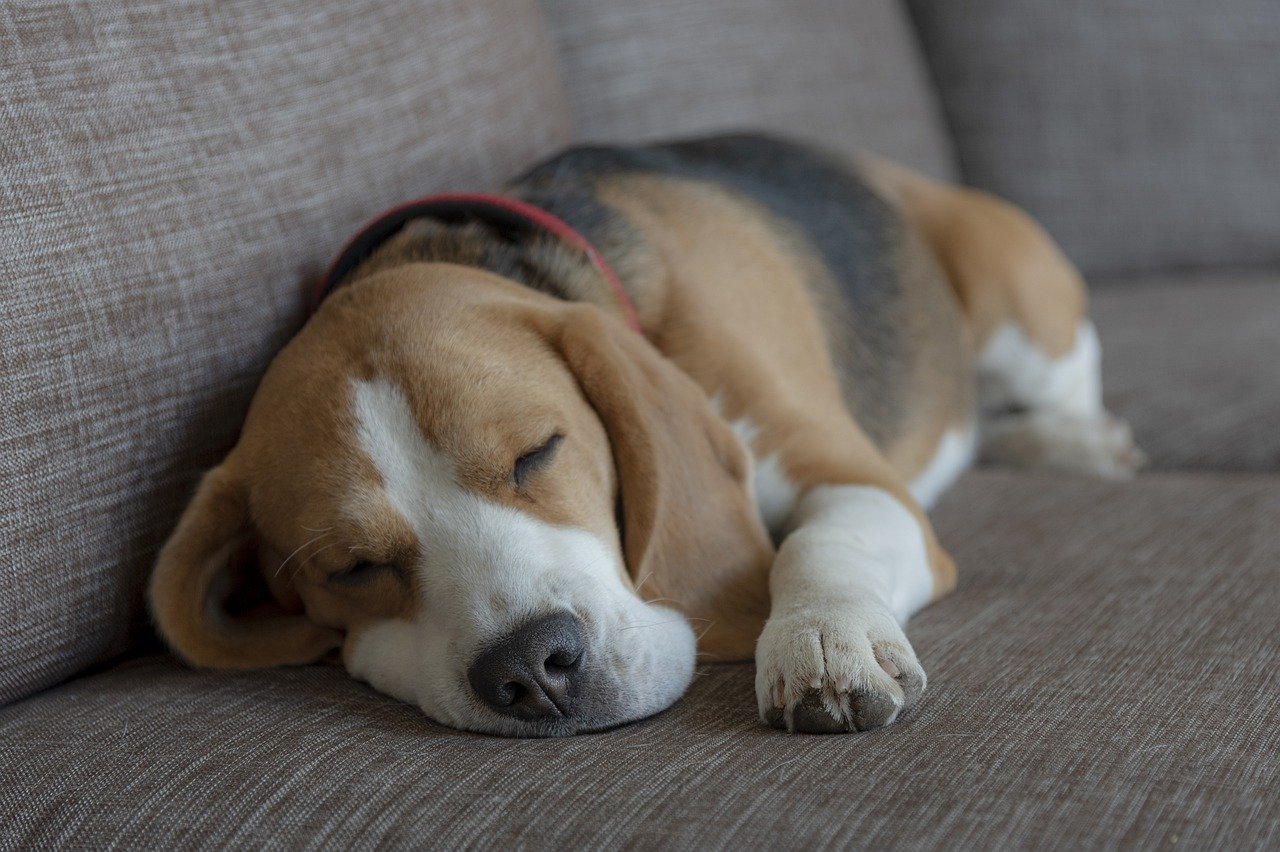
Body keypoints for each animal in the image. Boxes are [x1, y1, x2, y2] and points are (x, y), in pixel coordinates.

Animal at [149, 133, 1141, 731]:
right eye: (350, 569)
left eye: (537, 453)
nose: (535, 668)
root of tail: (883, 167)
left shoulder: (850, 474)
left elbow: (816, 542)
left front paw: (823, 640)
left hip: (1022, 309)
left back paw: (1076, 441)